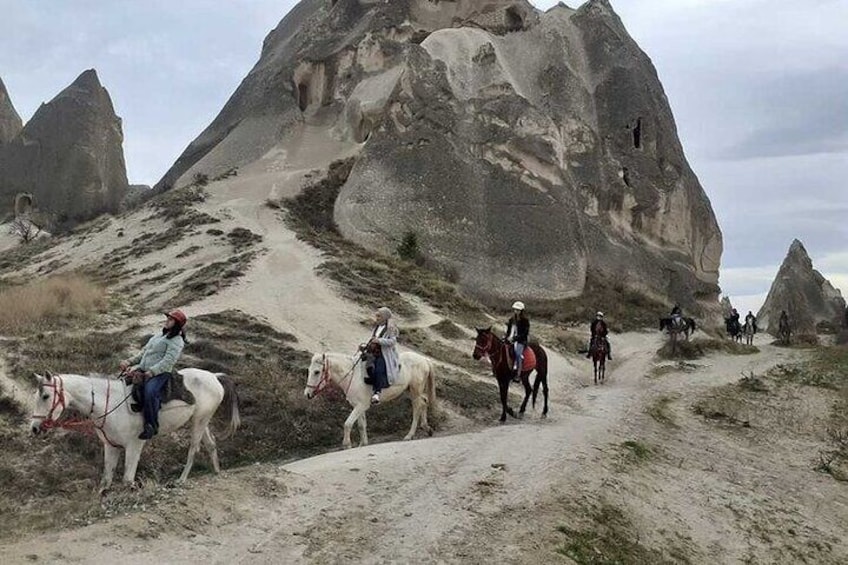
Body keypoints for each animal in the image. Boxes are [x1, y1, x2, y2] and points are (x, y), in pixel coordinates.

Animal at [30, 368, 238, 492]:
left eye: (46, 396)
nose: (34, 428)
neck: (108, 405)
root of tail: (214, 377)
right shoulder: (111, 447)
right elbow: (106, 480)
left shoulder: (134, 446)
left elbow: (127, 479)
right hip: (200, 420)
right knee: (211, 444)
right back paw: (217, 472)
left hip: (199, 422)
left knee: (193, 449)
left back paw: (181, 479)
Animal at [304, 350, 438, 448]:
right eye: (309, 371)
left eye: (317, 372)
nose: (307, 394)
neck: (353, 376)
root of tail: (424, 359)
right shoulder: (358, 406)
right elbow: (361, 425)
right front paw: (363, 444)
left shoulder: (361, 406)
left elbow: (348, 423)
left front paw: (347, 444)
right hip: (411, 390)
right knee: (424, 402)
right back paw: (427, 428)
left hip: (415, 390)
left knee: (417, 408)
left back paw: (409, 435)